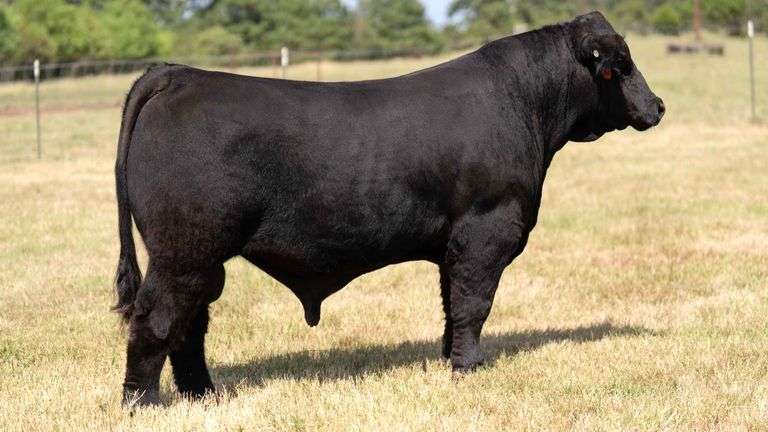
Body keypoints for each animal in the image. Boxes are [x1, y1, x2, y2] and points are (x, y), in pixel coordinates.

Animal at [114, 11, 664, 406]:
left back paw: (204, 397)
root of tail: (179, 75)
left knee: (190, 323)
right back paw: (143, 403)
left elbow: (450, 305)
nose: (658, 106)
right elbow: (474, 304)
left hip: (199, 259)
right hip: (184, 251)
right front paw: (469, 370)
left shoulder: (452, 243)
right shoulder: (487, 230)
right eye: (623, 65)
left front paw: (449, 361)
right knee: (156, 317)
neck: (525, 106)